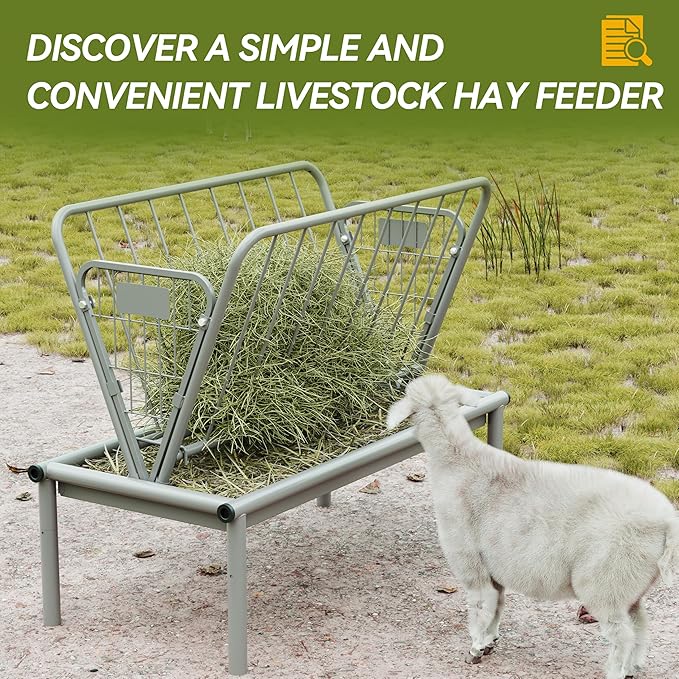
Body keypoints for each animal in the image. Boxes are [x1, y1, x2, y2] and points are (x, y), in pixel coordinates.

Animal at [387, 374, 679, 679]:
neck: (459, 459)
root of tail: (668, 522)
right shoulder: (494, 570)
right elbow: (497, 606)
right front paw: (490, 641)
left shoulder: (471, 563)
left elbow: (480, 607)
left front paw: (476, 648)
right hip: (630, 585)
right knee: (640, 626)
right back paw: (633, 667)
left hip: (606, 581)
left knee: (622, 635)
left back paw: (615, 671)